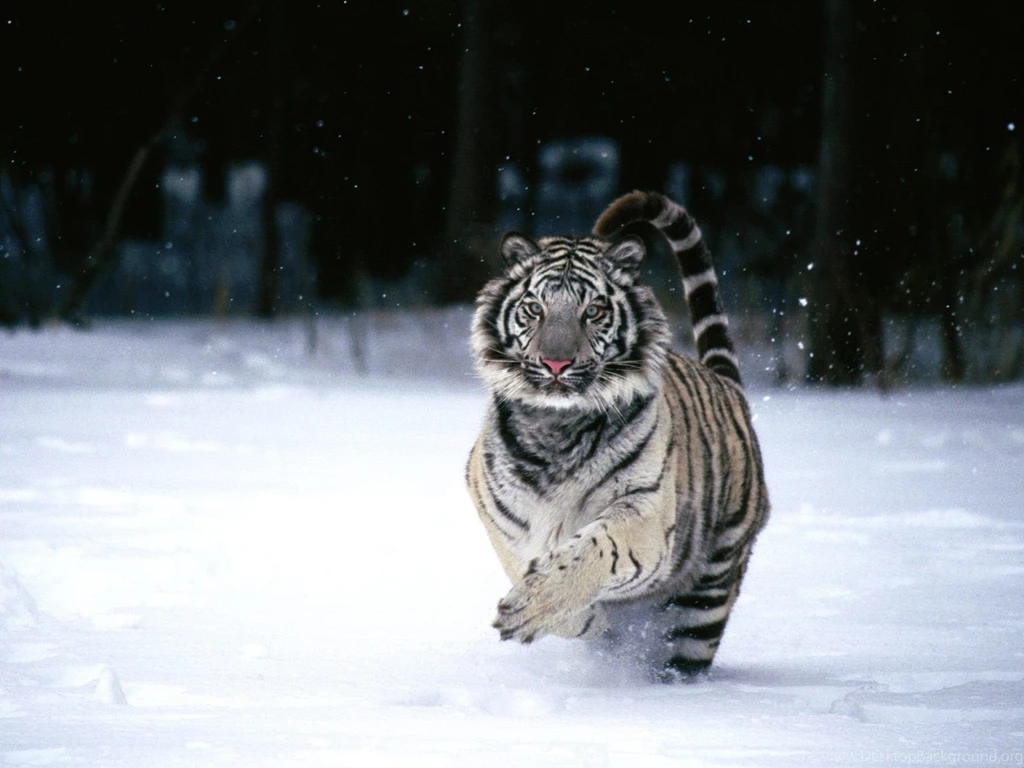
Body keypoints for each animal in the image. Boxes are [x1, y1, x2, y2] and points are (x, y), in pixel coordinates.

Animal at [465, 190, 769, 679]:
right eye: (535, 309)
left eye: (592, 311)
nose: (555, 363)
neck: (556, 427)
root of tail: (729, 387)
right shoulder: (500, 516)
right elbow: (527, 565)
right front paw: (583, 621)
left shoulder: (646, 510)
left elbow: (592, 550)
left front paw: (533, 607)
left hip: (709, 593)